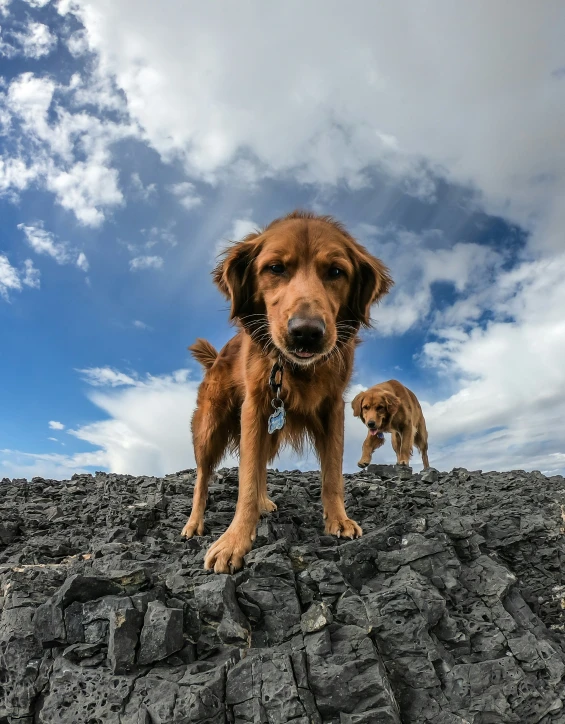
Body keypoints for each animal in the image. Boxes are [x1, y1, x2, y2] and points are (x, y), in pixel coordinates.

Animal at [181, 209, 392, 572]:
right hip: (210, 427)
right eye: (276, 268)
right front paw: (235, 539)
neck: (294, 369)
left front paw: (338, 519)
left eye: (336, 271)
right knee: (203, 477)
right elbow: (246, 479)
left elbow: (332, 473)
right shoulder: (254, 407)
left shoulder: (332, 407)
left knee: (260, 464)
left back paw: (264, 502)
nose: (306, 333)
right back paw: (195, 522)